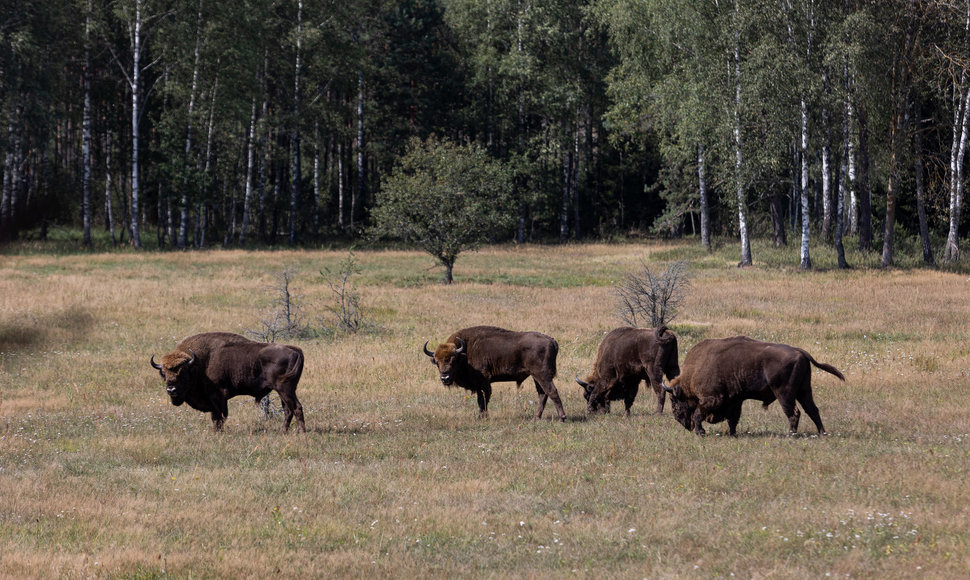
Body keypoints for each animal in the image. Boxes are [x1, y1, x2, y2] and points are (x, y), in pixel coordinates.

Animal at [149, 334, 302, 432]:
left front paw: (218, 433)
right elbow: (216, 417)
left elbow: (220, 417)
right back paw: (283, 432)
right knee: (288, 410)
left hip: (285, 390)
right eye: (163, 374)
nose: (171, 390)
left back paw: (302, 433)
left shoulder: (218, 397)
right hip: (284, 391)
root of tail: (294, 350)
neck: (198, 364)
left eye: (182, 373)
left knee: (296, 408)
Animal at [420, 326, 564, 422]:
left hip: (542, 375)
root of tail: (552, 341)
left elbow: (484, 399)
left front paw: (483, 417)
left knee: (552, 392)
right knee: (542, 394)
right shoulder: (478, 385)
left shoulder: (483, 382)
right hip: (535, 376)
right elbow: (481, 400)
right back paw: (536, 418)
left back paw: (562, 418)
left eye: (453, 360)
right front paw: (481, 416)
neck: (465, 353)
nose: (445, 377)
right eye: (436, 362)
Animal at [660, 336, 844, 436]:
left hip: (784, 393)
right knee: (812, 410)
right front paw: (732, 434)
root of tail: (800, 352)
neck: (694, 371)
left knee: (794, 412)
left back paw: (791, 434)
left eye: (674, 402)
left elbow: (699, 413)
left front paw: (701, 432)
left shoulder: (712, 399)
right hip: (804, 390)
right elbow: (733, 419)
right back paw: (822, 433)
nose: (682, 422)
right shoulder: (735, 401)